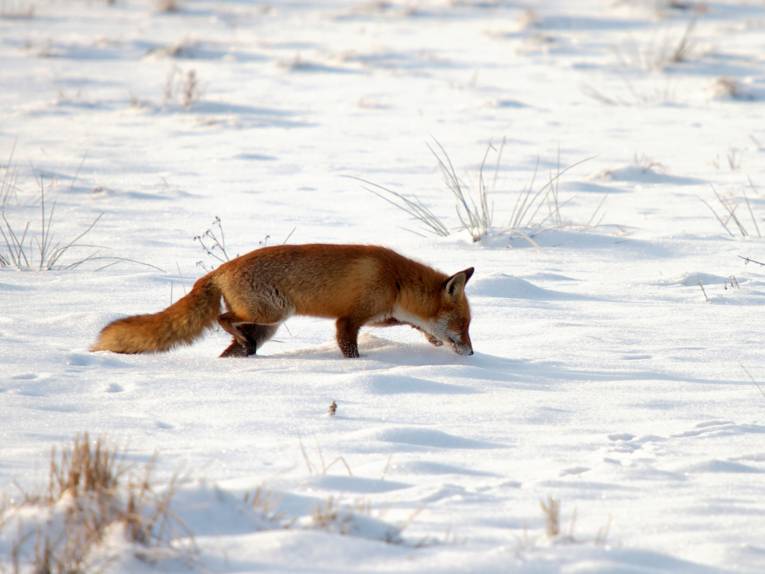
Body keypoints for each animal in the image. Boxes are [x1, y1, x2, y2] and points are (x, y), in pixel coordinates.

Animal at [91, 243, 475, 358]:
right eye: (463, 324)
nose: (472, 353)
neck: (395, 281)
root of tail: (220, 269)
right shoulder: (349, 319)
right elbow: (349, 347)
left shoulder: (382, 314)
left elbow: (411, 323)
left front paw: (432, 339)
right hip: (272, 312)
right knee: (223, 319)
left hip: (267, 324)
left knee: (233, 342)